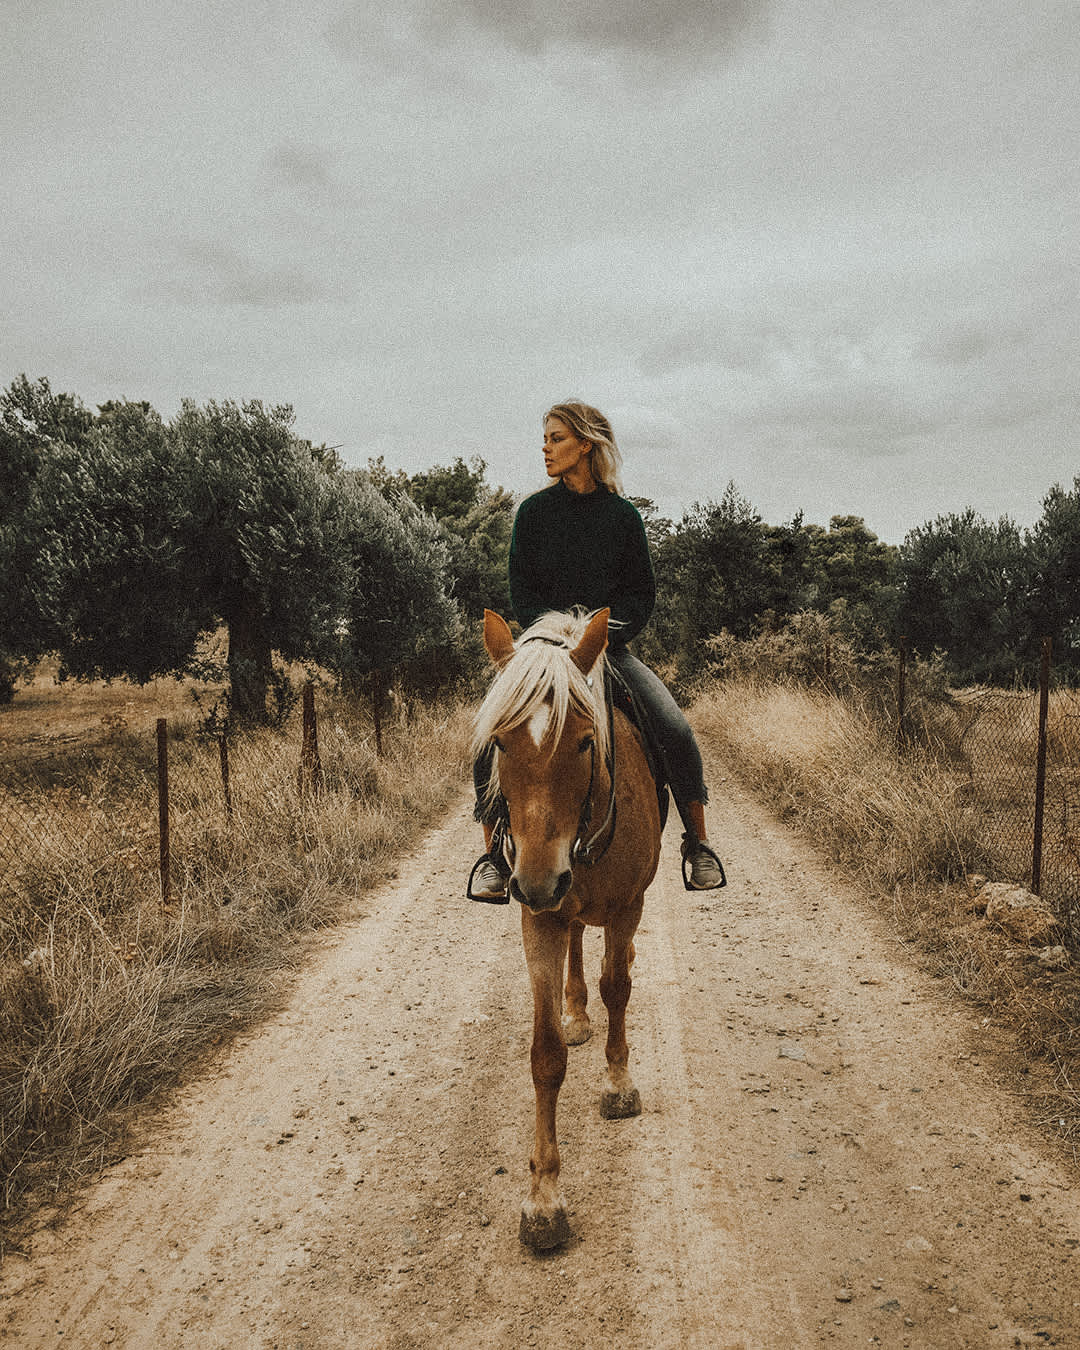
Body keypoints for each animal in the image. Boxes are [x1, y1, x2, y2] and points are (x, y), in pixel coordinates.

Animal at [475, 607, 661, 1247]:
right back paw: (577, 1012)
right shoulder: (540, 920)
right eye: (499, 743)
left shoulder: (627, 907)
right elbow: (545, 1054)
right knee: (579, 941)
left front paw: (618, 1084)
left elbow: (618, 989)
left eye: (584, 741)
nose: (535, 881)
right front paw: (543, 1198)